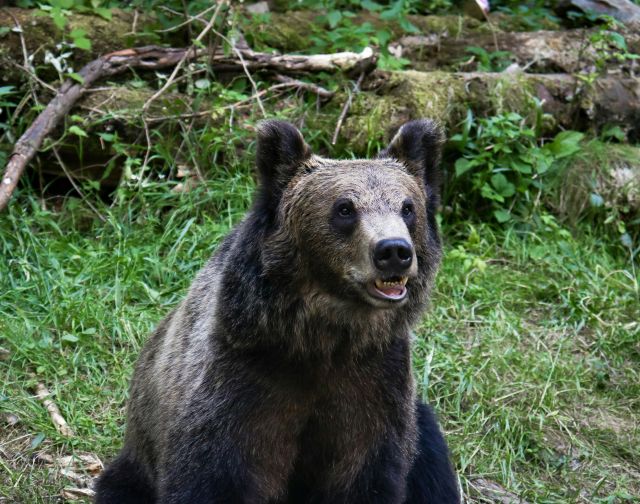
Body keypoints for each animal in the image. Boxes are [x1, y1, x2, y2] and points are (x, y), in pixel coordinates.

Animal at [94, 119, 460, 504]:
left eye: (407, 207)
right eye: (345, 208)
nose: (393, 251)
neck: (322, 336)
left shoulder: (375, 384)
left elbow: (367, 473)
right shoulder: (242, 382)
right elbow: (213, 473)